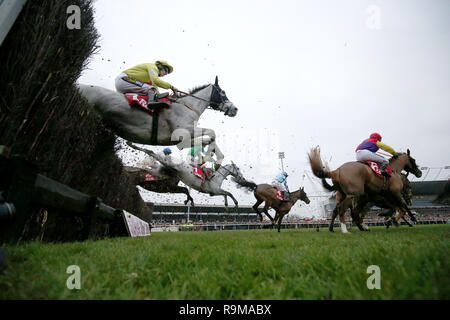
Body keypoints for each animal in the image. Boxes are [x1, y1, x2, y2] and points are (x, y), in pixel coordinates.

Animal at [77, 76, 237, 166]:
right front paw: (212, 157)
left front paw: (216, 157)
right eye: (223, 92)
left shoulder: (179, 141)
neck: (187, 107)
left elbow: (208, 139)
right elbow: (212, 133)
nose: (234, 109)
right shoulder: (182, 133)